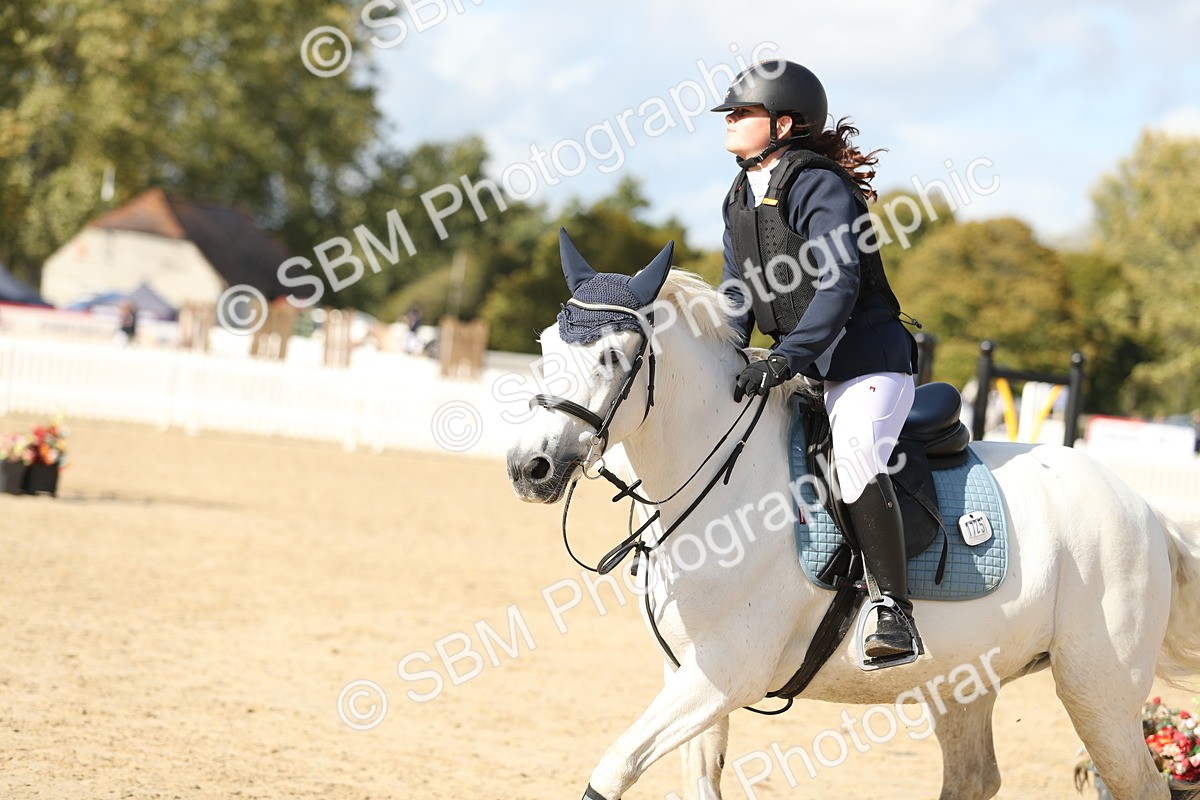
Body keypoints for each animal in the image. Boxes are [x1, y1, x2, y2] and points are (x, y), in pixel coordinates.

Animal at [505, 238, 1200, 800]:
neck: (721, 481)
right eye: (543, 345)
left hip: (1098, 693)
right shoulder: (689, 676)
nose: (528, 468)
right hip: (965, 681)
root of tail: (1145, 511)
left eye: (612, 358)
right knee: (974, 777)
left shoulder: (724, 676)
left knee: (1139, 784)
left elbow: (614, 766)